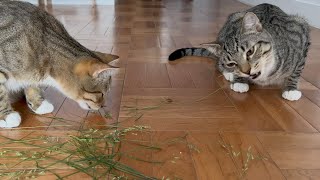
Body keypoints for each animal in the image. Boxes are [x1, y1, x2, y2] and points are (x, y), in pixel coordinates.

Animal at [169, 3, 312, 101]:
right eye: (232, 63)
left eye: (250, 52)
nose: (247, 72)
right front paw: (239, 81)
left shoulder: (302, 32)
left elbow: (297, 71)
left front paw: (291, 89)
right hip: (233, 18)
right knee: (218, 64)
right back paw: (228, 74)